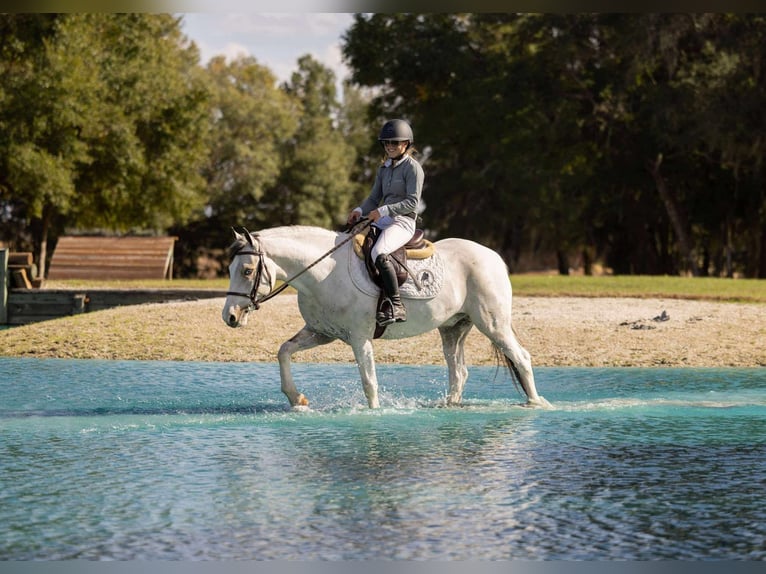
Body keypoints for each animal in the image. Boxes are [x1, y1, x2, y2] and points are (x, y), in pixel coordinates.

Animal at [222, 225, 550, 410]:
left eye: (247, 271)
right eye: (230, 269)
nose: (231, 317)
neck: (324, 272)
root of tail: (493, 256)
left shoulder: (360, 338)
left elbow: (369, 381)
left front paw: (374, 413)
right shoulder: (321, 333)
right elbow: (284, 351)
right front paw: (296, 399)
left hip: (493, 325)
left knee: (521, 358)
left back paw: (535, 403)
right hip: (454, 328)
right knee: (459, 371)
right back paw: (449, 406)